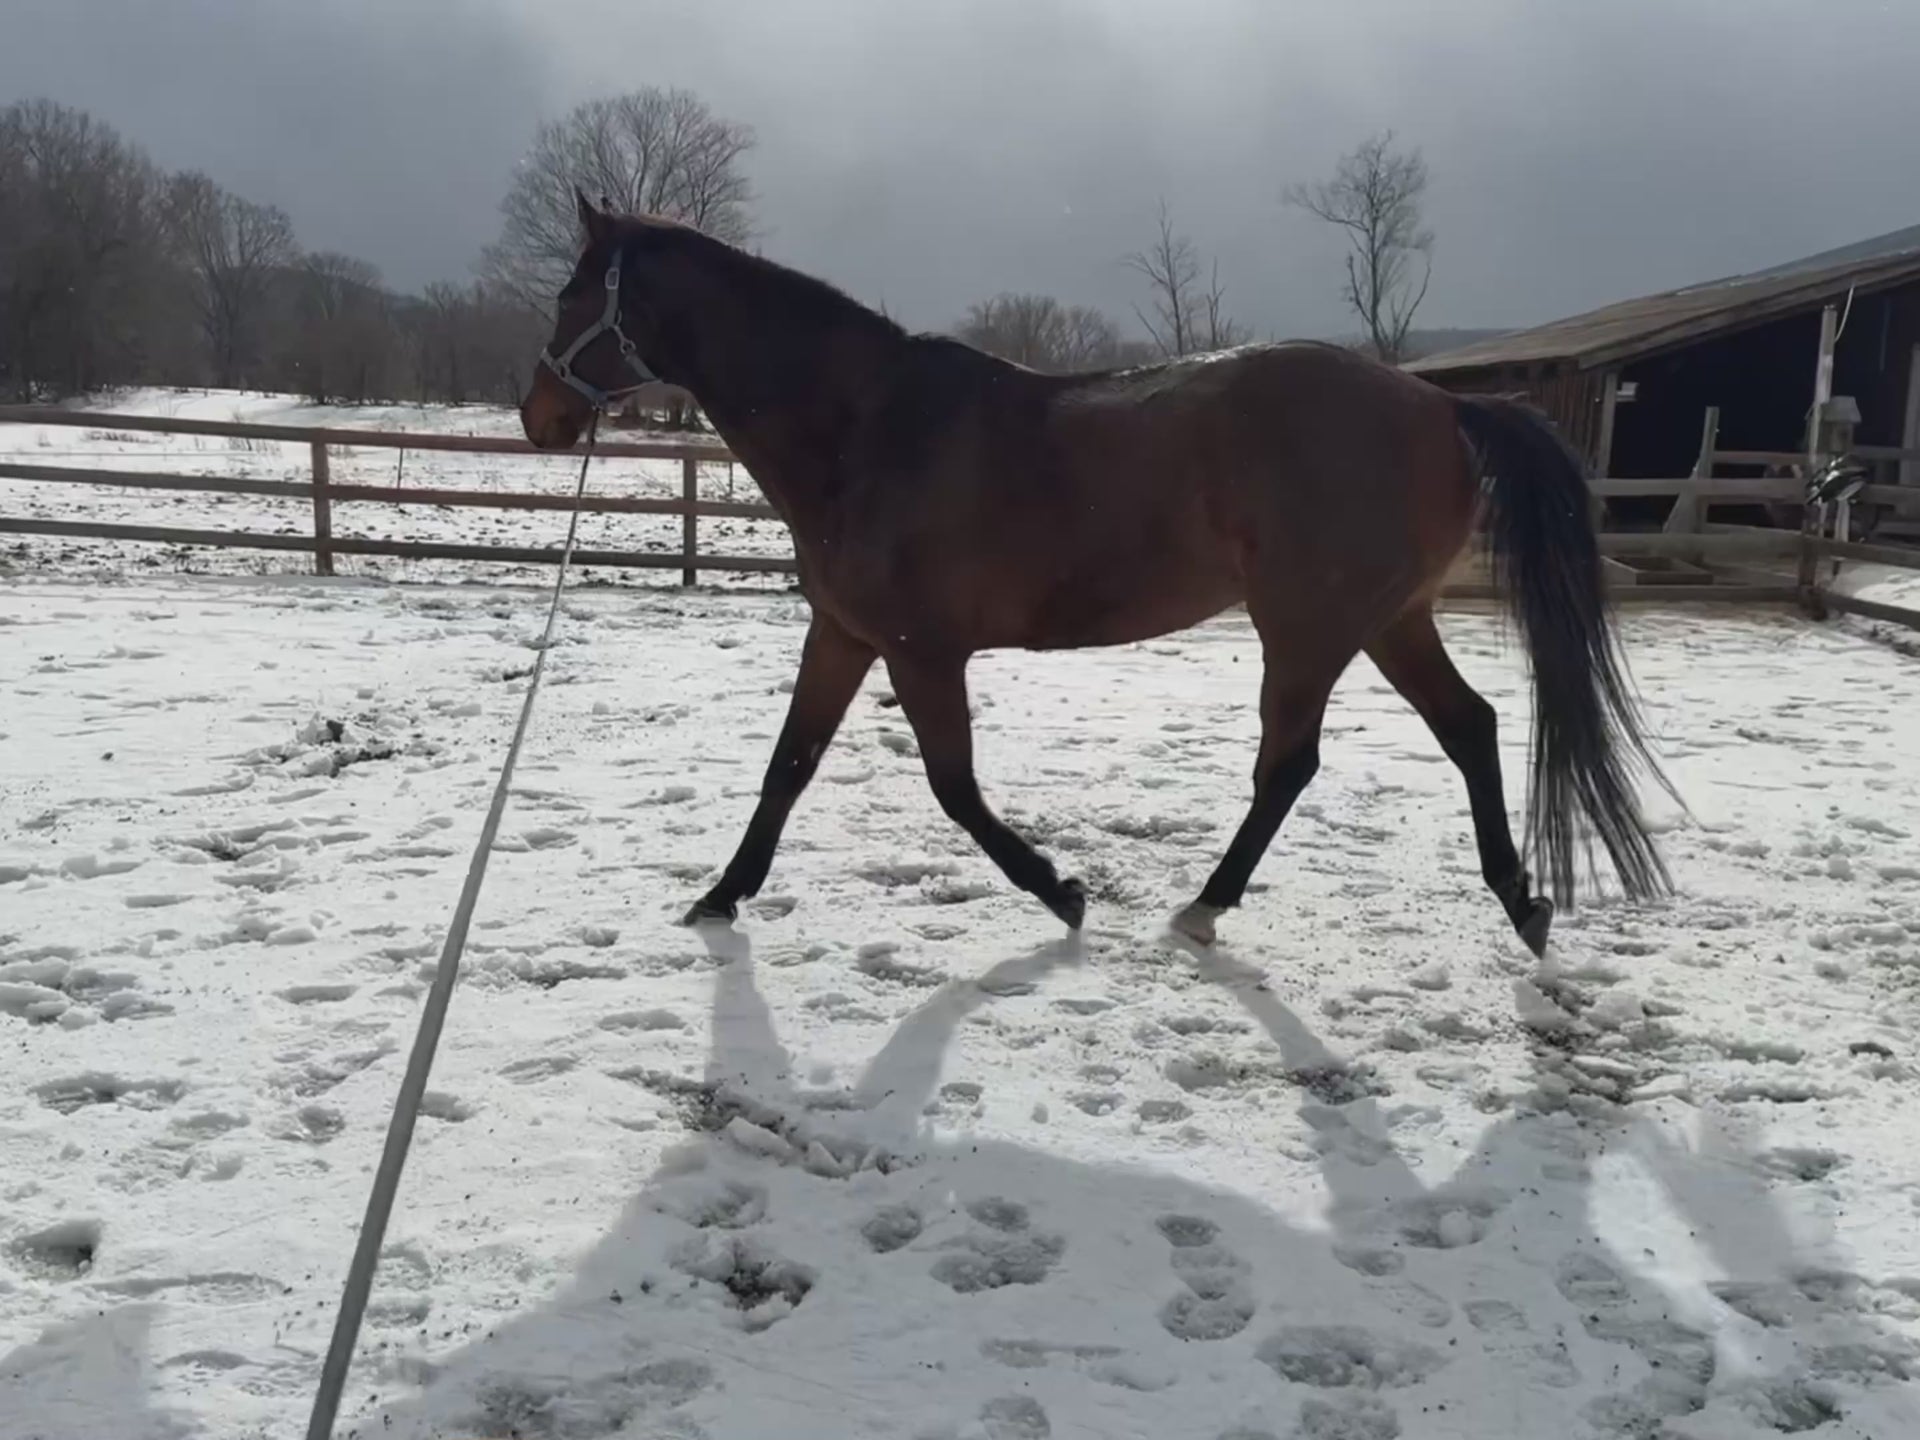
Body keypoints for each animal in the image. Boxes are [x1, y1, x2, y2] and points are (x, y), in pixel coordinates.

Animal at [521, 193, 1676, 955]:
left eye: (573, 295)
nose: (540, 416)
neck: (866, 429)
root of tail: (1441, 403)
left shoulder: (922, 650)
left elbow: (953, 786)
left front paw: (1061, 891)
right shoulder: (844, 633)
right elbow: (789, 765)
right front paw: (721, 894)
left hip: (1309, 629)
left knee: (1290, 763)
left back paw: (1205, 906)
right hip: (1388, 619)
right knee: (1468, 726)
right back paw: (1521, 901)